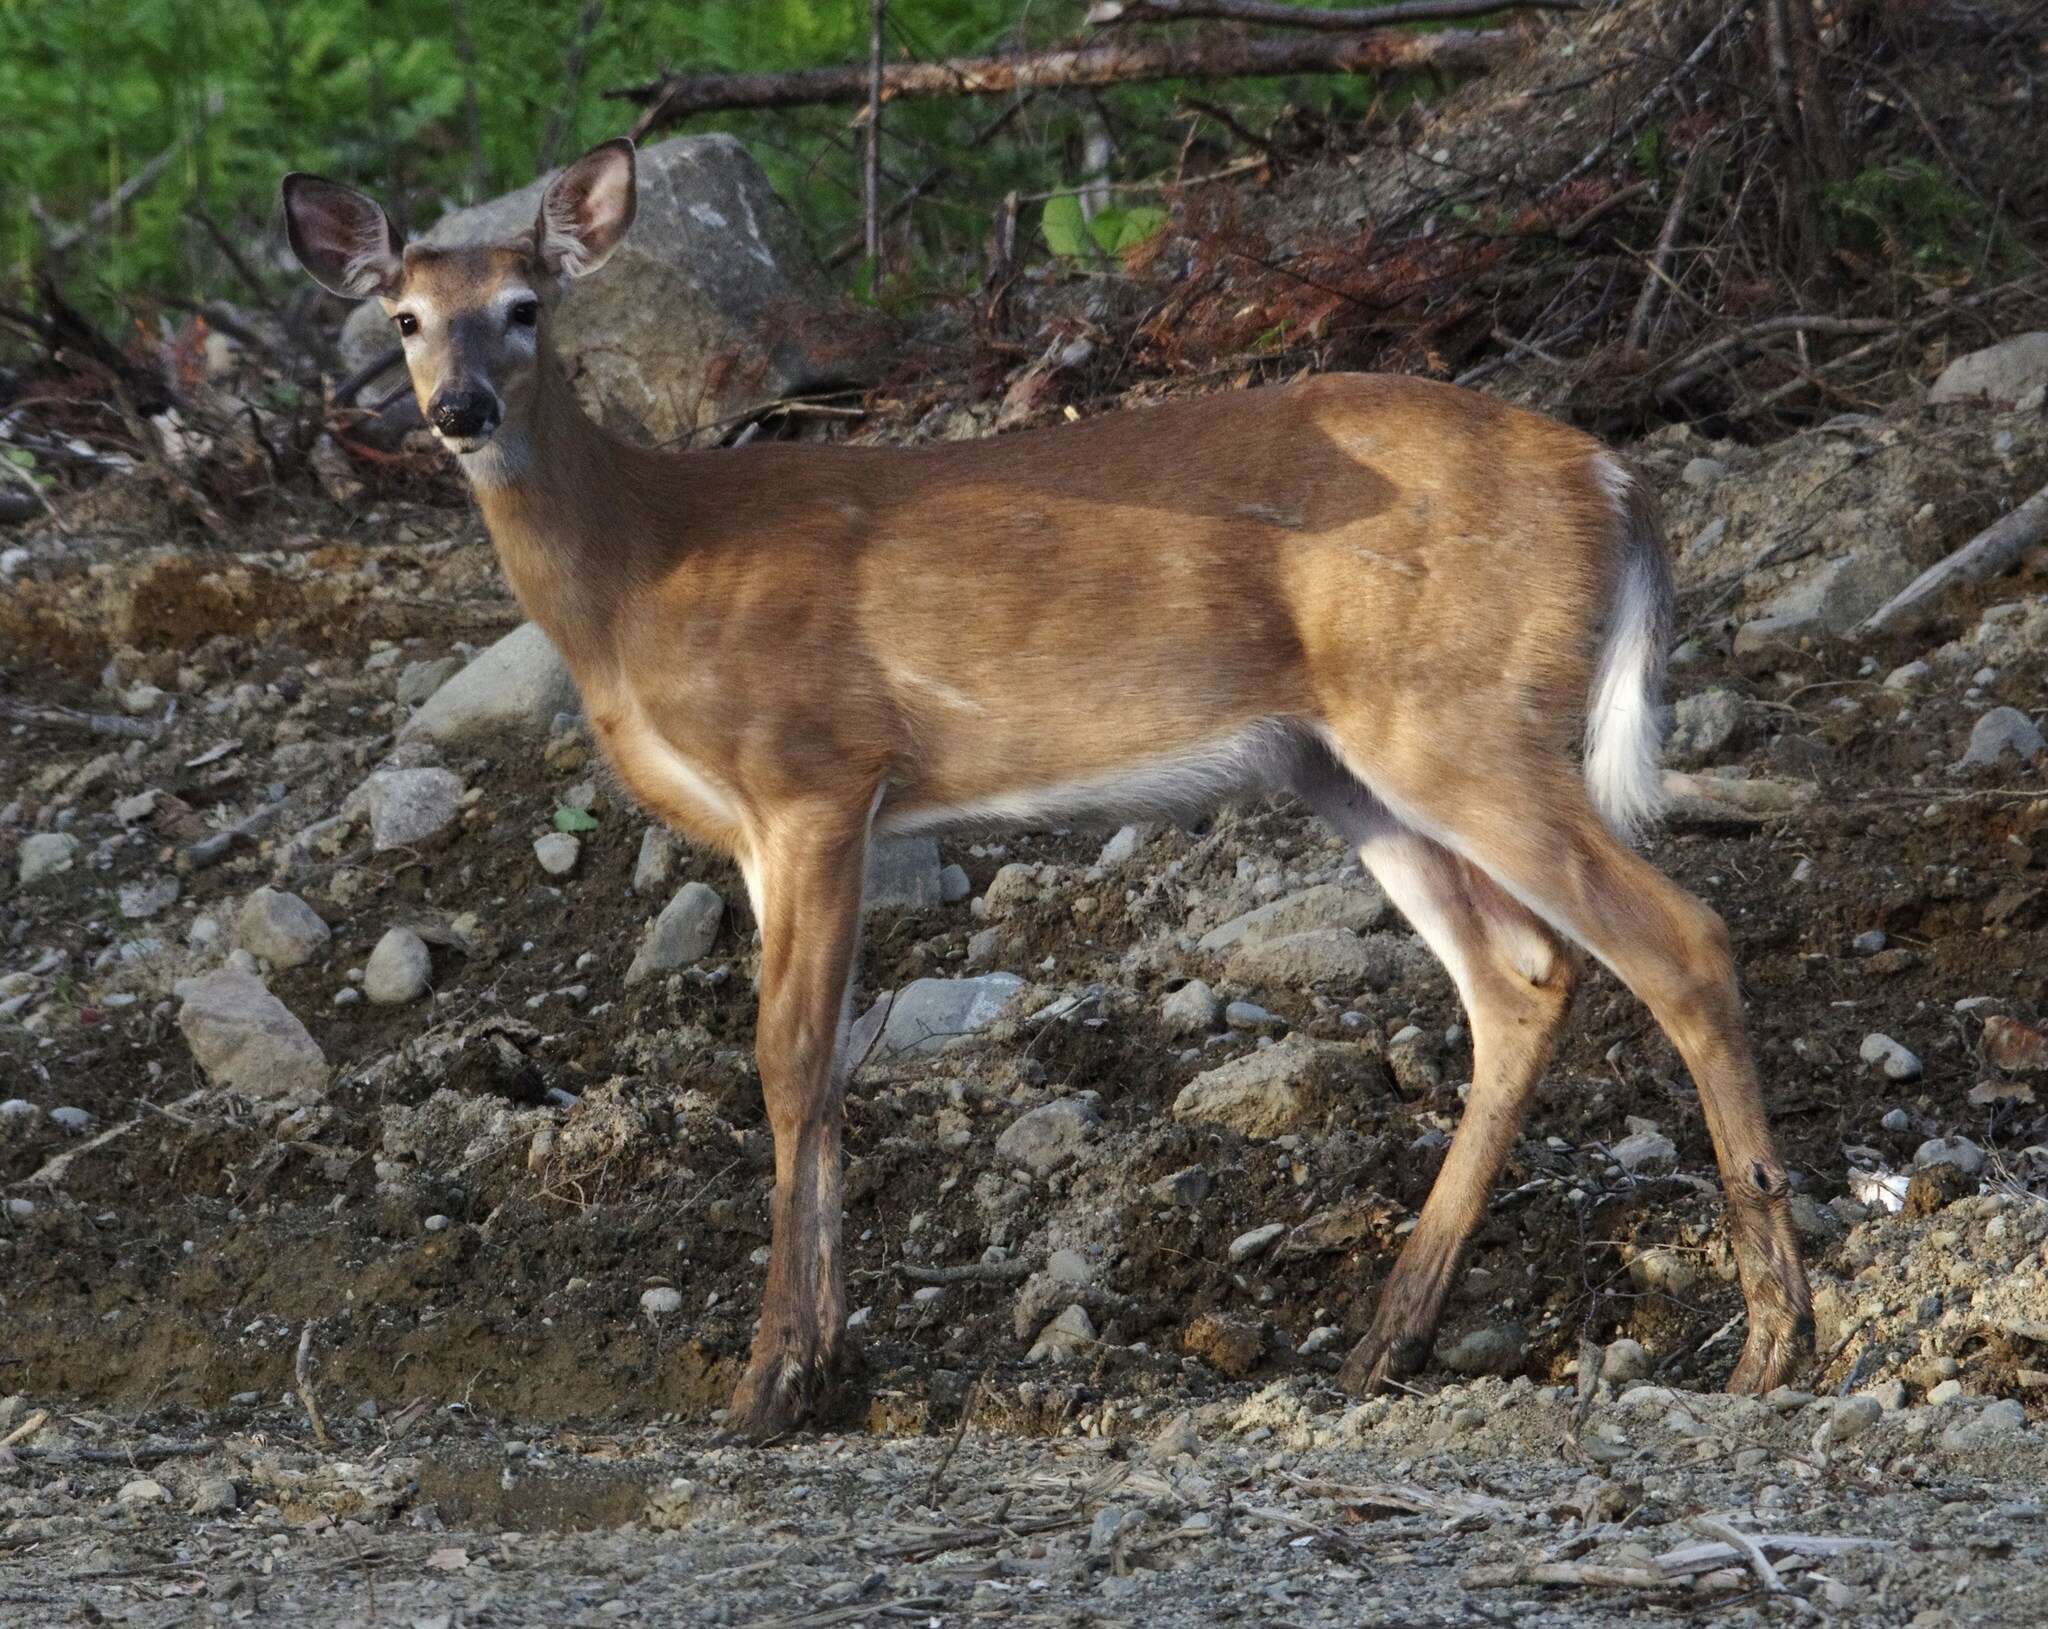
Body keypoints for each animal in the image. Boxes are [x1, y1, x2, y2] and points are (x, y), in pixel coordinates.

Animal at [284, 140, 1810, 1442]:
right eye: (405, 319)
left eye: (525, 307)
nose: (461, 410)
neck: (644, 572)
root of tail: (1618, 480)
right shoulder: (764, 833)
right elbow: (823, 1068)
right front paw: (823, 1365)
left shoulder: (817, 772)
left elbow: (788, 1061)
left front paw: (771, 1383)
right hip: (1350, 763)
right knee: (1521, 977)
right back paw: (1389, 1341)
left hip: (1457, 717)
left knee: (1678, 939)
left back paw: (1770, 1339)